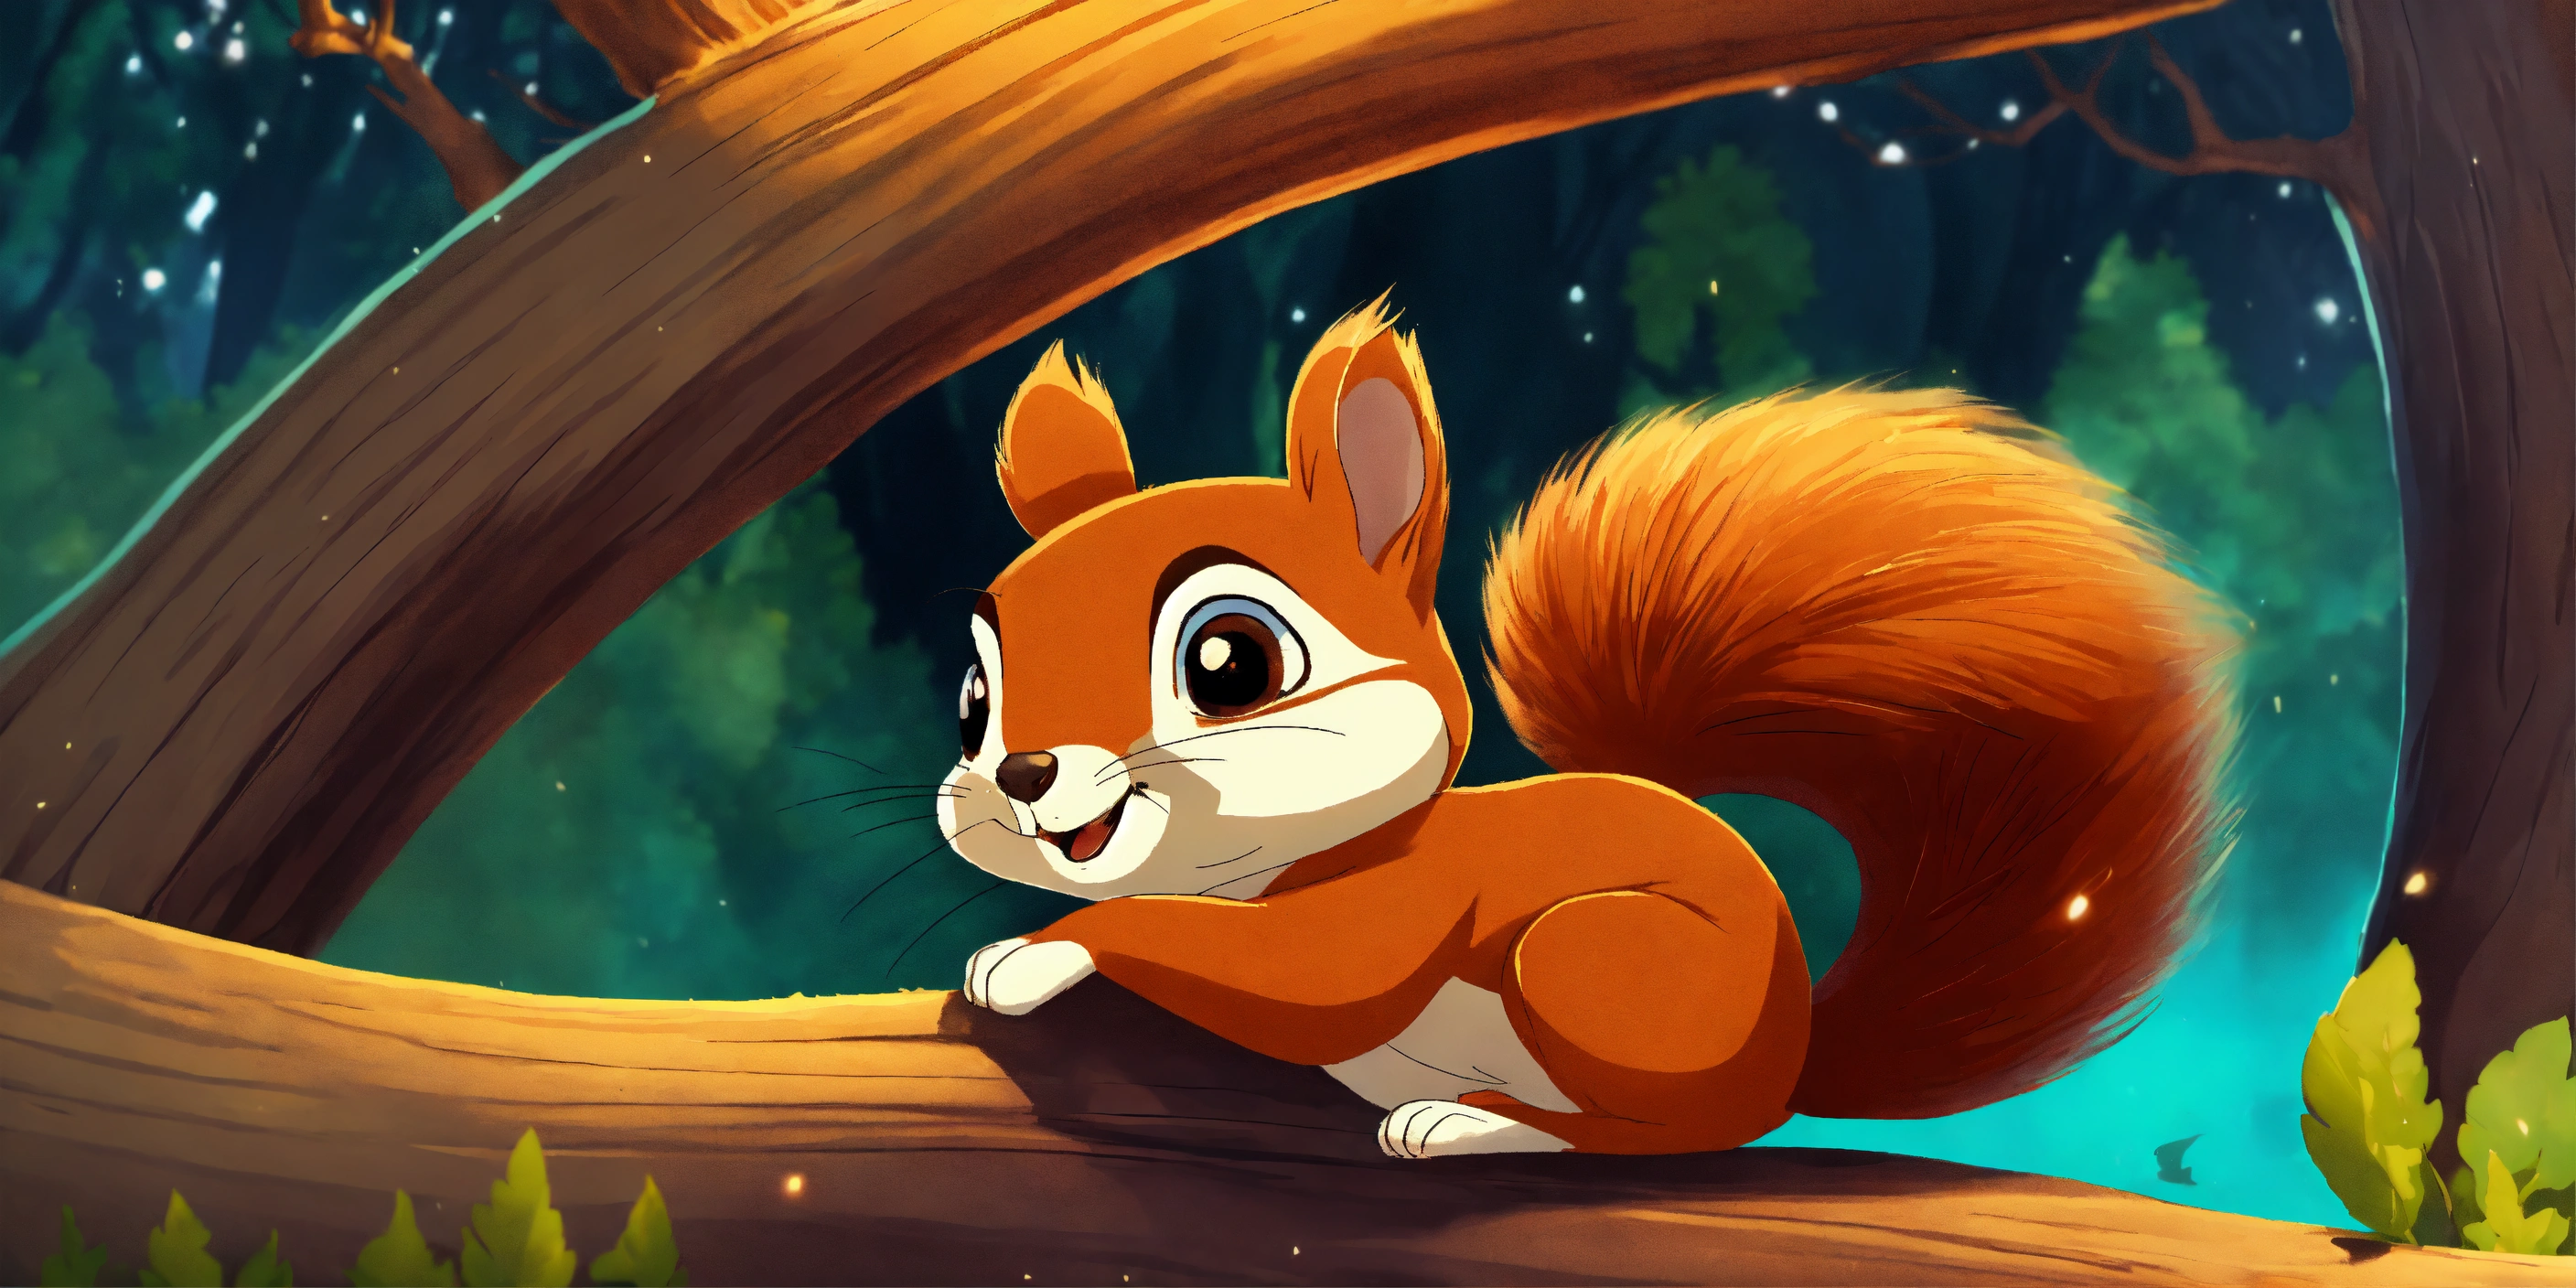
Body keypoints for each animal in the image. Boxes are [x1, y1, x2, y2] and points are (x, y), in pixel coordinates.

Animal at [937, 296, 2239, 1159]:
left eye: (1229, 659)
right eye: (973, 698)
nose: (1021, 772)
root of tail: (1790, 1055)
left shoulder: (1398, 915)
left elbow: (1269, 971)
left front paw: (1042, 951)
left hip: (1592, 962)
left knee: (1652, 1132)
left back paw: (1469, 1123)